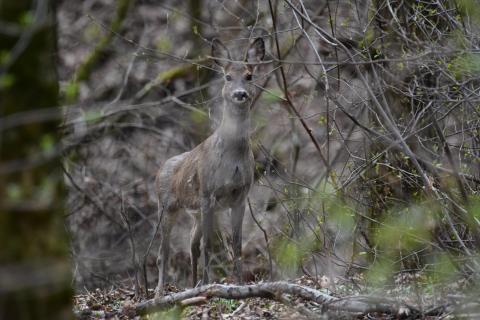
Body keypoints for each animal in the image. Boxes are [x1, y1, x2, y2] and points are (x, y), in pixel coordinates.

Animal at [155, 38, 264, 298]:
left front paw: (240, 284)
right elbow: (208, 245)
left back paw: (193, 284)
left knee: (191, 244)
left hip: (193, 212)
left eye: (249, 75)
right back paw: (159, 293)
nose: (240, 94)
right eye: (227, 76)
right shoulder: (207, 192)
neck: (233, 158)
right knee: (163, 252)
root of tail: (159, 170)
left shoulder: (240, 196)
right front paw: (209, 284)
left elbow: (236, 243)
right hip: (166, 206)